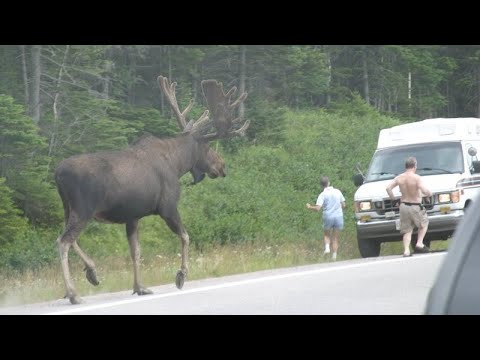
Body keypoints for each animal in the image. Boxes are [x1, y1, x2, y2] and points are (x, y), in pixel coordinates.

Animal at [54, 75, 249, 304]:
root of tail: (57, 173)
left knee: (65, 238)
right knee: (63, 241)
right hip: (84, 209)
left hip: (68, 208)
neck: (178, 164)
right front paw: (181, 275)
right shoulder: (168, 207)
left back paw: (91, 272)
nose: (222, 166)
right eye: (208, 147)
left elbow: (136, 251)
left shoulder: (132, 217)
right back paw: (73, 293)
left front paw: (139, 287)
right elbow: (185, 236)